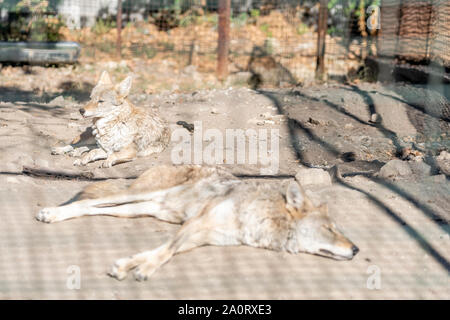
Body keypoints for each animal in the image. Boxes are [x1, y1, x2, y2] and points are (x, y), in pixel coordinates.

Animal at [35, 165, 358, 280]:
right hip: (139, 196)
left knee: (93, 209)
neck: (261, 218)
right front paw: (144, 271)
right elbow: (165, 252)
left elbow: (162, 250)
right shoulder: (196, 225)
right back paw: (50, 214)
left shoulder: (199, 235)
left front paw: (128, 265)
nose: (356, 249)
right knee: (86, 202)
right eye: (331, 229)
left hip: (138, 210)